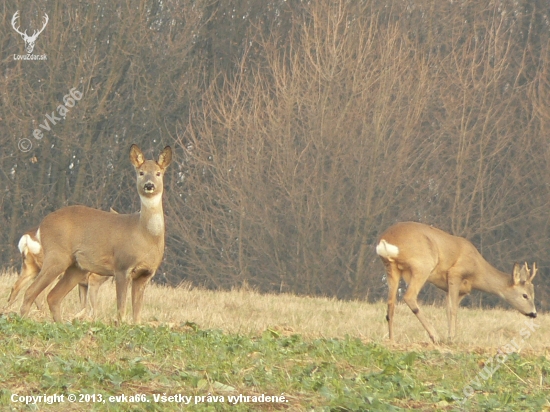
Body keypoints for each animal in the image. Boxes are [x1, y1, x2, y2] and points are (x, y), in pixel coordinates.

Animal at [20, 146, 172, 324]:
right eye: (141, 172)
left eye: (158, 173)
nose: (149, 185)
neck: (145, 235)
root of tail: (41, 225)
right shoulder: (122, 266)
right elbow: (121, 311)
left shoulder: (145, 274)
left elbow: (137, 316)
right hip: (57, 255)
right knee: (31, 292)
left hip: (77, 267)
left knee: (53, 296)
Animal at [378, 220, 536, 342]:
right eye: (525, 295)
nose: (534, 313)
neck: (477, 270)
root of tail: (386, 241)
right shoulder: (455, 273)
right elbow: (453, 309)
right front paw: (452, 338)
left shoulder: (458, 289)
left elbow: (449, 309)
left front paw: (451, 336)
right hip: (422, 265)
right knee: (409, 297)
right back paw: (434, 336)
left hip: (391, 268)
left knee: (391, 303)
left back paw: (391, 339)